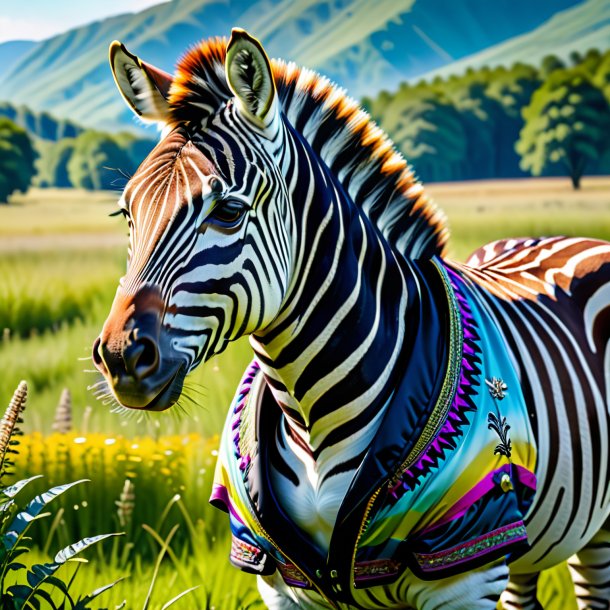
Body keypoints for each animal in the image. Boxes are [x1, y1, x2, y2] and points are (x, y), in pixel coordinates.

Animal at [94, 27, 608, 608]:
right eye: (127, 213)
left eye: (227, 211)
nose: (120, 357)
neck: (310, 417)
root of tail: (567, 239)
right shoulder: (282, 583)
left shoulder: (465, 568)